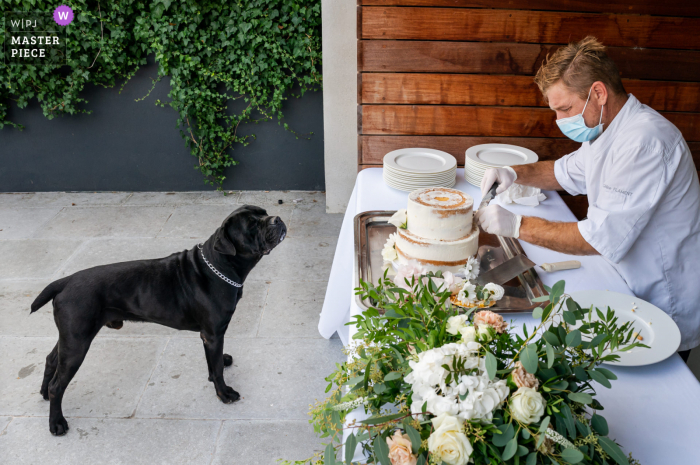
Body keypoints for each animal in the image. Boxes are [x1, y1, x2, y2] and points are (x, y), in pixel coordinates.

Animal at [29, 205, 288, 434]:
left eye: (264, 212)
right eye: (252, 225)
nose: (276, 219)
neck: (220, 266)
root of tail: (66, 280)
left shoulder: (209, 336)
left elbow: (212, 363)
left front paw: (219, 365)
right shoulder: (214, 334)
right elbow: (216, 370)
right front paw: (223, 393)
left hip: (70, 338)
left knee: (51, 359)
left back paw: (43, 393)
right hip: (77, 343)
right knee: (57, 386)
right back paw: (57, 423)